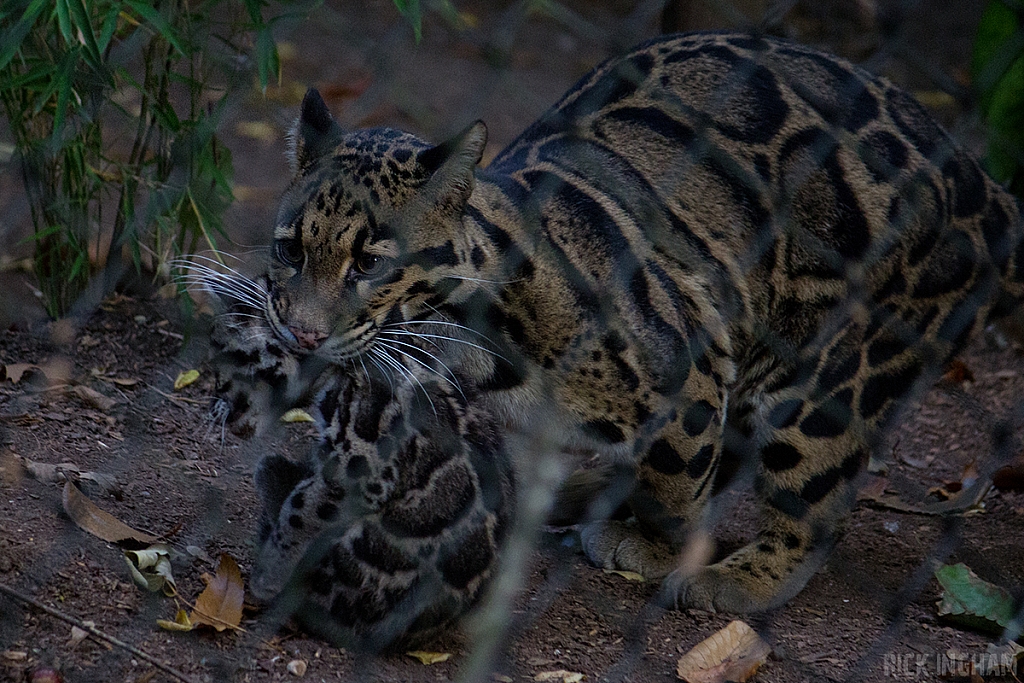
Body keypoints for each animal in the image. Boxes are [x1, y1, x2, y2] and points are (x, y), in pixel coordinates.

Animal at [193, 31, 1024, 651]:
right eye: (290, 249)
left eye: (369, 263)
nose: (301, 330)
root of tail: (990, 191)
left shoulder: (689, 371)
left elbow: (678, 482)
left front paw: (661, 546)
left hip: (827, 376)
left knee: (812, 497)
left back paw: (740, 574)